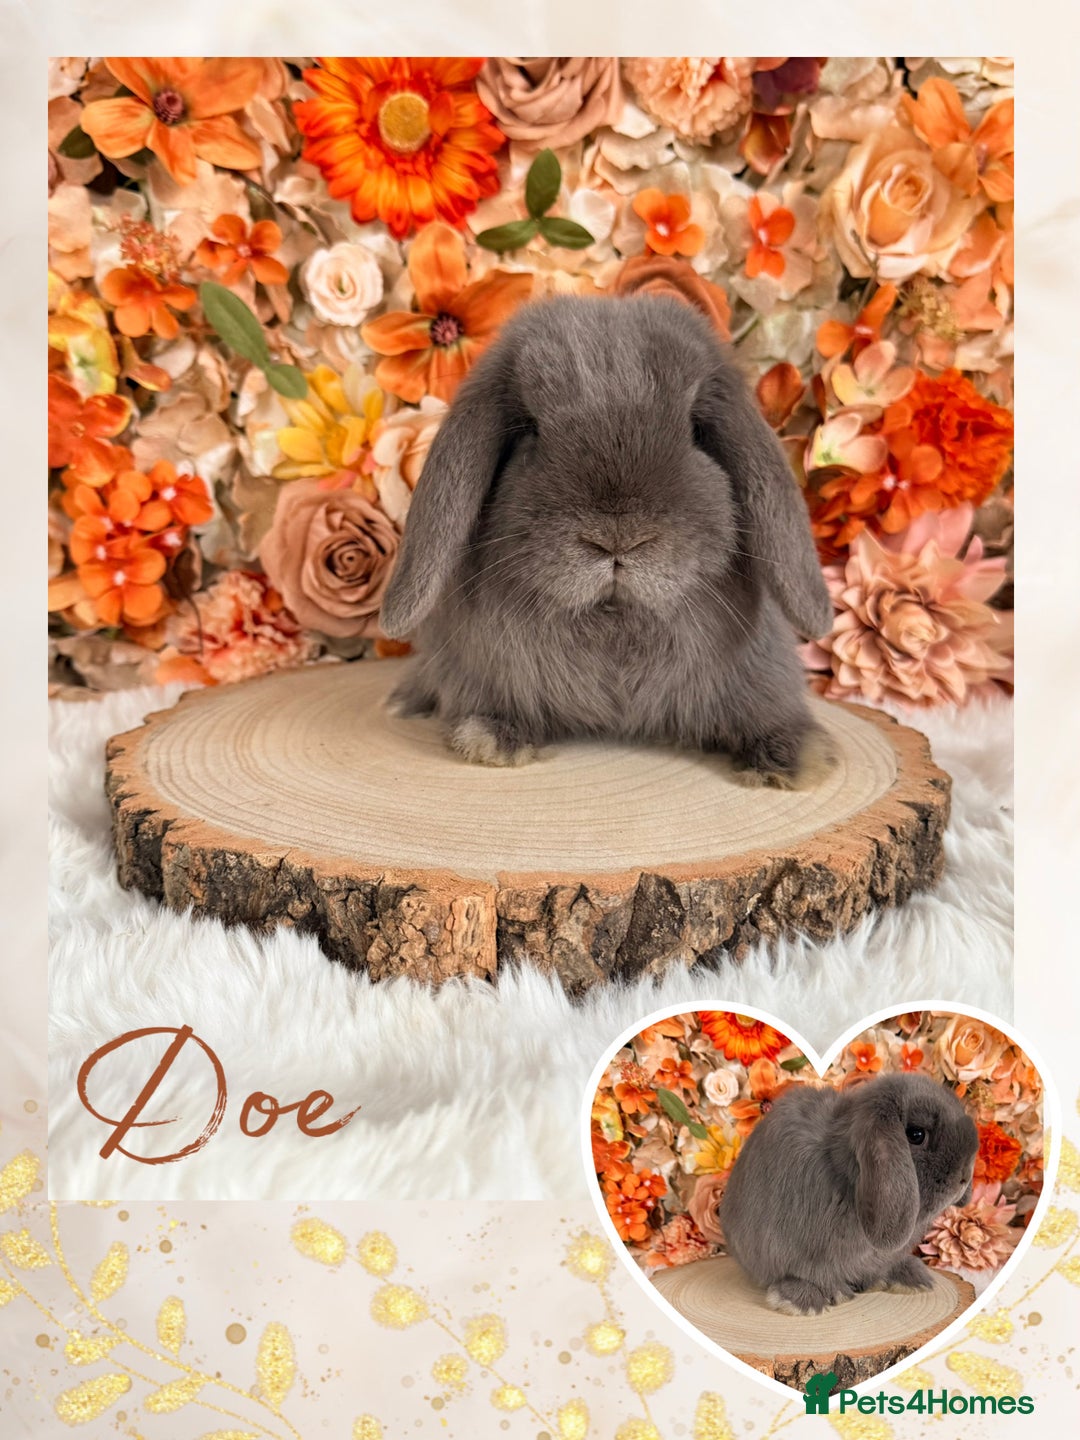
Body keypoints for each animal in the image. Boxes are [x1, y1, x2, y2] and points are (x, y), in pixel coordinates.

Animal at [379, 293, 834, 787]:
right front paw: (491, 740)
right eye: (529, 429)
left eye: (696, 431)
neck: (615, 624)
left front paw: (787, 761)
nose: (617, 540)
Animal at [718, 1072, 979, 1315]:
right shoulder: (803, 1255)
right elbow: (808, 1275)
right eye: (916, 1135)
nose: (964, 1176)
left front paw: (907, 1280)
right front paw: (814, 1300)